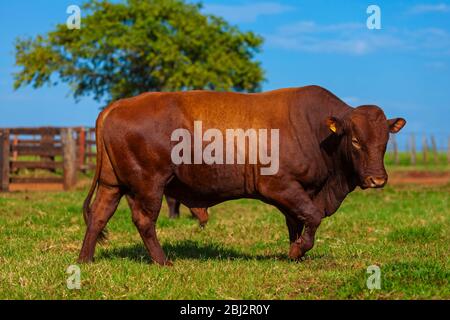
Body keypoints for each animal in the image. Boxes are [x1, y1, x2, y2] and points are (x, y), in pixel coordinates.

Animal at [79, 85, 406, 264]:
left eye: (384, 141)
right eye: (356, 141)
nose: (377, 179)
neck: (315, 131)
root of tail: (119, 105)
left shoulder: (299, 192)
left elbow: (297, 222)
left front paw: (296, 252)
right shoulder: (280, 186)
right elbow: (312, 216)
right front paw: (298, 250)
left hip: (112, 183)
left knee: (99, 215)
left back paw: (85, 259)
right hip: (149, 184)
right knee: (144, 220)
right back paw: (163, 261)